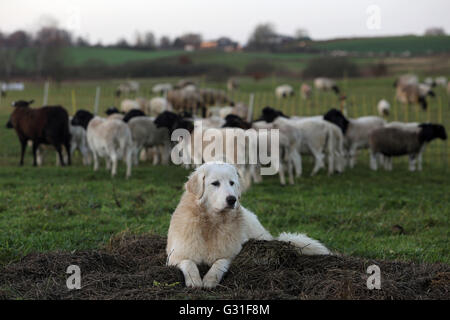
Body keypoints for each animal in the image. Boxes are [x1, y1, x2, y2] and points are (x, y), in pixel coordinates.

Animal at [166, 161, 330, 288]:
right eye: (215, 183)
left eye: (232, 183)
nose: (232, 199)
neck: (211, 225)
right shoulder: (175, 255)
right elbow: (189, 263)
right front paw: (194, 280)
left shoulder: (230, 254)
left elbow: (219, 264)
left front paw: (209, 280)